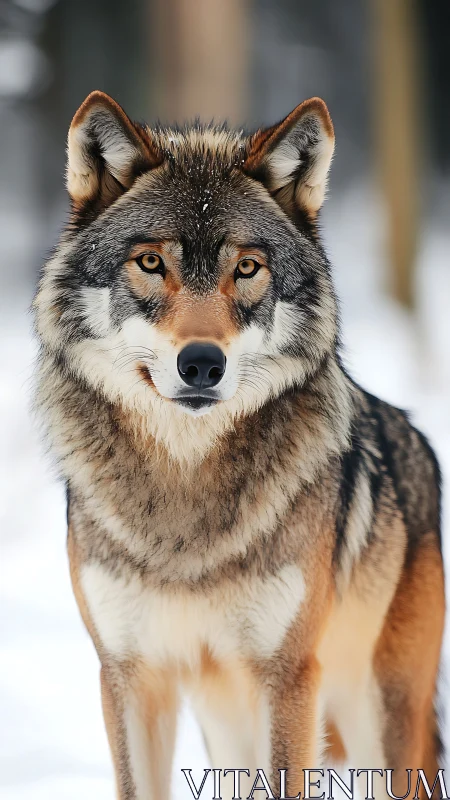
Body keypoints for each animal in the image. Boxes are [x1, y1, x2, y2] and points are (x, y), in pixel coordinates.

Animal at [33, 91, 445, 800]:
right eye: (151, 262)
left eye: (246, 268)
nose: (202, 363)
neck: (184, 488)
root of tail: (414, 439)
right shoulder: (128, 677)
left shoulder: (288, 679)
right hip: (226, 723)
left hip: (380, 729)